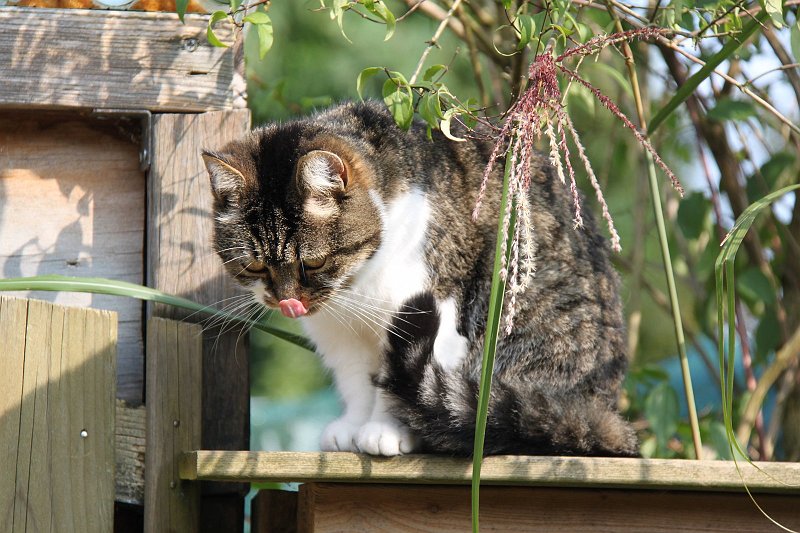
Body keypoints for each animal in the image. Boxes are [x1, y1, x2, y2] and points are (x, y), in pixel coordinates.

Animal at [205, 101, 636, 458]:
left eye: (312, 264)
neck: (355, 286)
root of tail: (598, 413)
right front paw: (353, 427)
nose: (286, 302)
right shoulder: (337, 334)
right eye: (255, 267)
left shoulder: (435, 309)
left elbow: (398, 382)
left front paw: (385, 430)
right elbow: (356, 380)